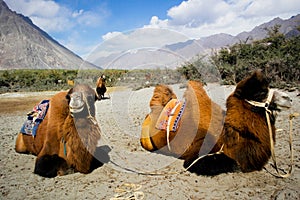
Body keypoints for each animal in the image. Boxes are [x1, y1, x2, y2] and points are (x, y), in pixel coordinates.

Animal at [141, 70, 292, 175]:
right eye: (260, 93)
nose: (288, 98)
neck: (227, 136)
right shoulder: (197, 155)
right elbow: (232, 163)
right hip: (147, 142)